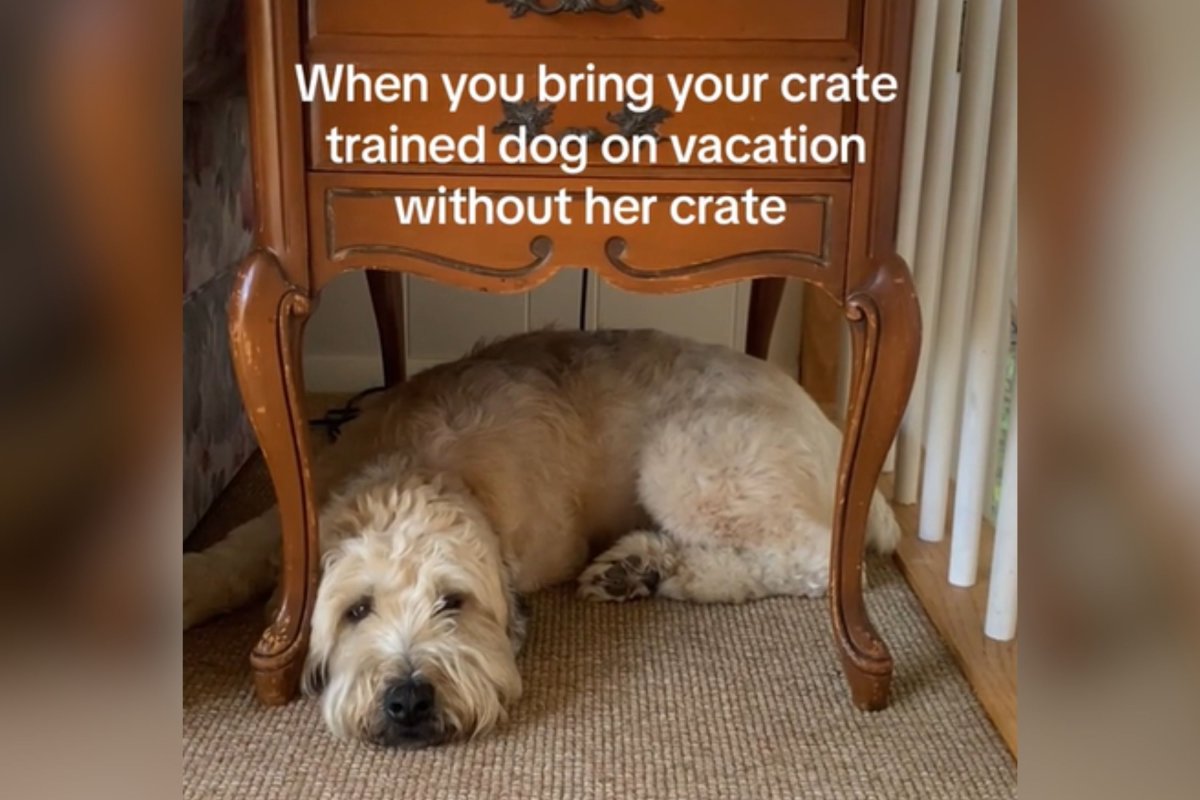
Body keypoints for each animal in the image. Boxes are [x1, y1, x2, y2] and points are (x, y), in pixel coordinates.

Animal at [182, 328, 897, 748]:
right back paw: (639, 567)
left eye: (453, 602)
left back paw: (657, 569)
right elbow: (237, 552)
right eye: (357, 610)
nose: (409, 698)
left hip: (688, 461)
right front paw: (188, 584)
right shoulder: (301, 507)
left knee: (819, 561)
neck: (412, 466)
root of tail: (829, 424)